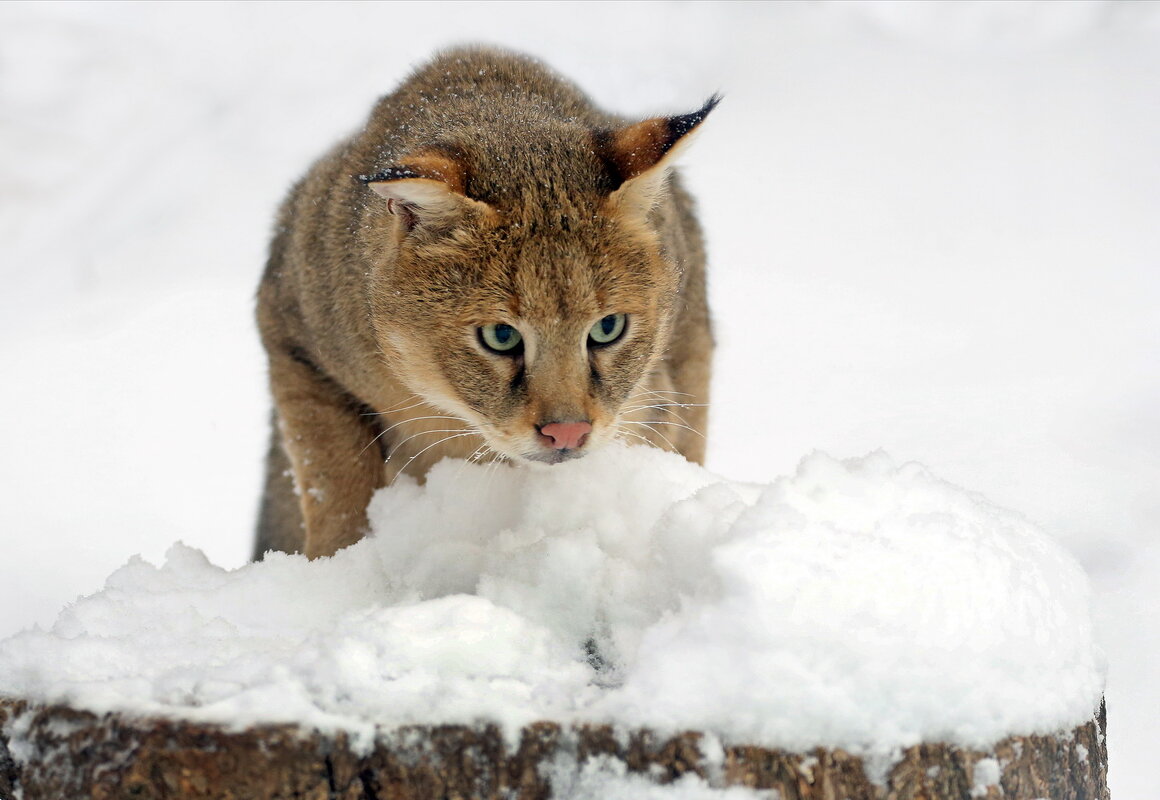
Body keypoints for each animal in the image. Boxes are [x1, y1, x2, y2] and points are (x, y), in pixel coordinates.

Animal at [254, 46, 714, 558]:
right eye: (500, 336)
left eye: (607, 328)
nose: (567, 432)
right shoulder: (291, 333)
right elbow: (334, 474)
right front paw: (339, 561)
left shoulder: (653, 401)